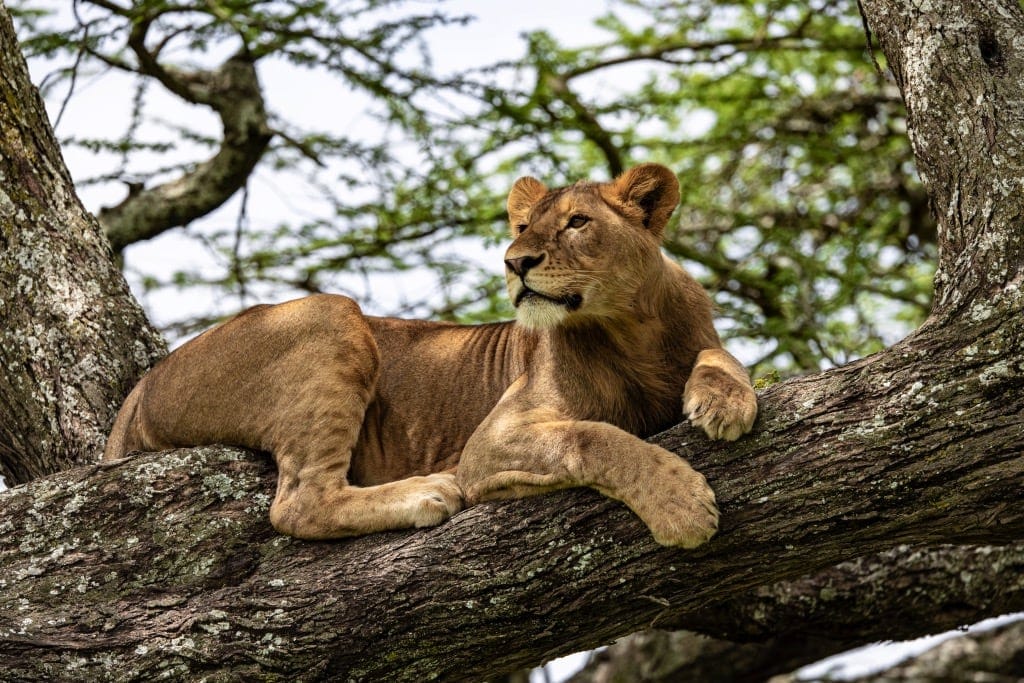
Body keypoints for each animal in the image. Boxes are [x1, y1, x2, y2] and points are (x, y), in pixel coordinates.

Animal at [103, 163, 757, 548]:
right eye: (522, 225)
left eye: (576, 222)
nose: (515, 261)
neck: (630, 327)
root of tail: (142, 388)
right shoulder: (489, 447)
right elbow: (595, 438)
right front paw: (680, 505)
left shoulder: (695, 334)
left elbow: (722, 355)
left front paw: (725, 401)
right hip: (332, 314)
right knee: (298, 504)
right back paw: (425, 493)